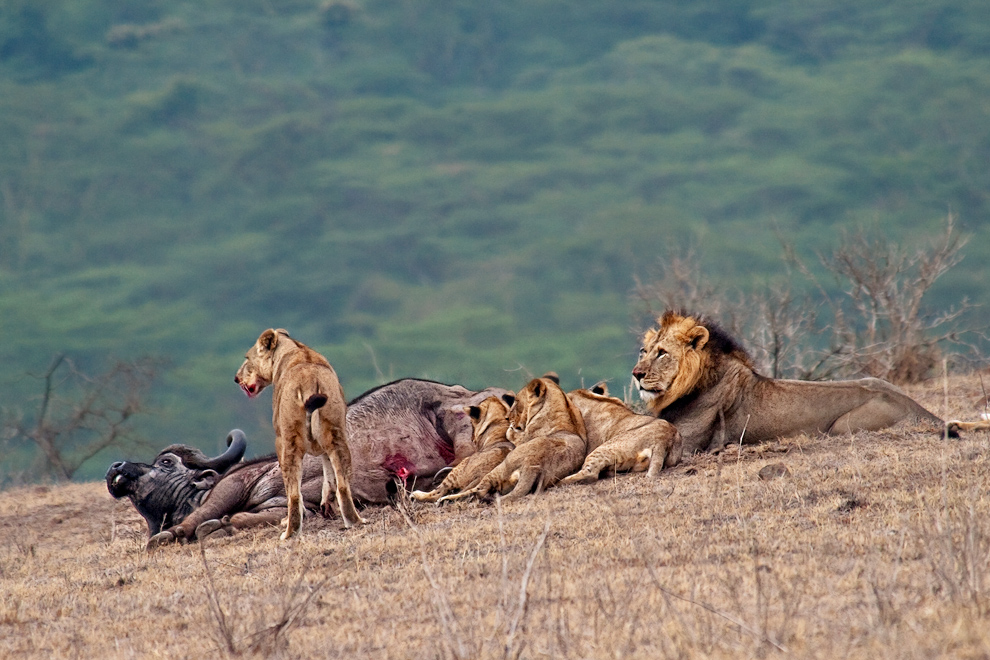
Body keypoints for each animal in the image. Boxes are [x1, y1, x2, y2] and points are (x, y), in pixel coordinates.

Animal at [236, 328, 368, 540]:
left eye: (247, 358)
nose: (236, 378)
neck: (293, 348)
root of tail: (309, 383)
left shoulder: (280, 438)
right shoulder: (325, 447)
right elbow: (328, 476)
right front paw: (327, 505)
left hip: (289, 443)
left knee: (294, 495)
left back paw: (289, 532)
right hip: (338, 437)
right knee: (343, 484)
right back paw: (354, 521)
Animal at [438, 374, 584, 502]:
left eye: (517, 402)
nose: (508, 417)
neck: (562, 407)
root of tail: (533, 465)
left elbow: (510, 433)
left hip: (500, 468)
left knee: (478, 490)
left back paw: (444, 499)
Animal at [632, 310, 988, 454]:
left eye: (662, 353)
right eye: (643, 351)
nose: (636, 374)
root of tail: (924, 412)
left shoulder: (690, 442)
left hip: (845, 426)